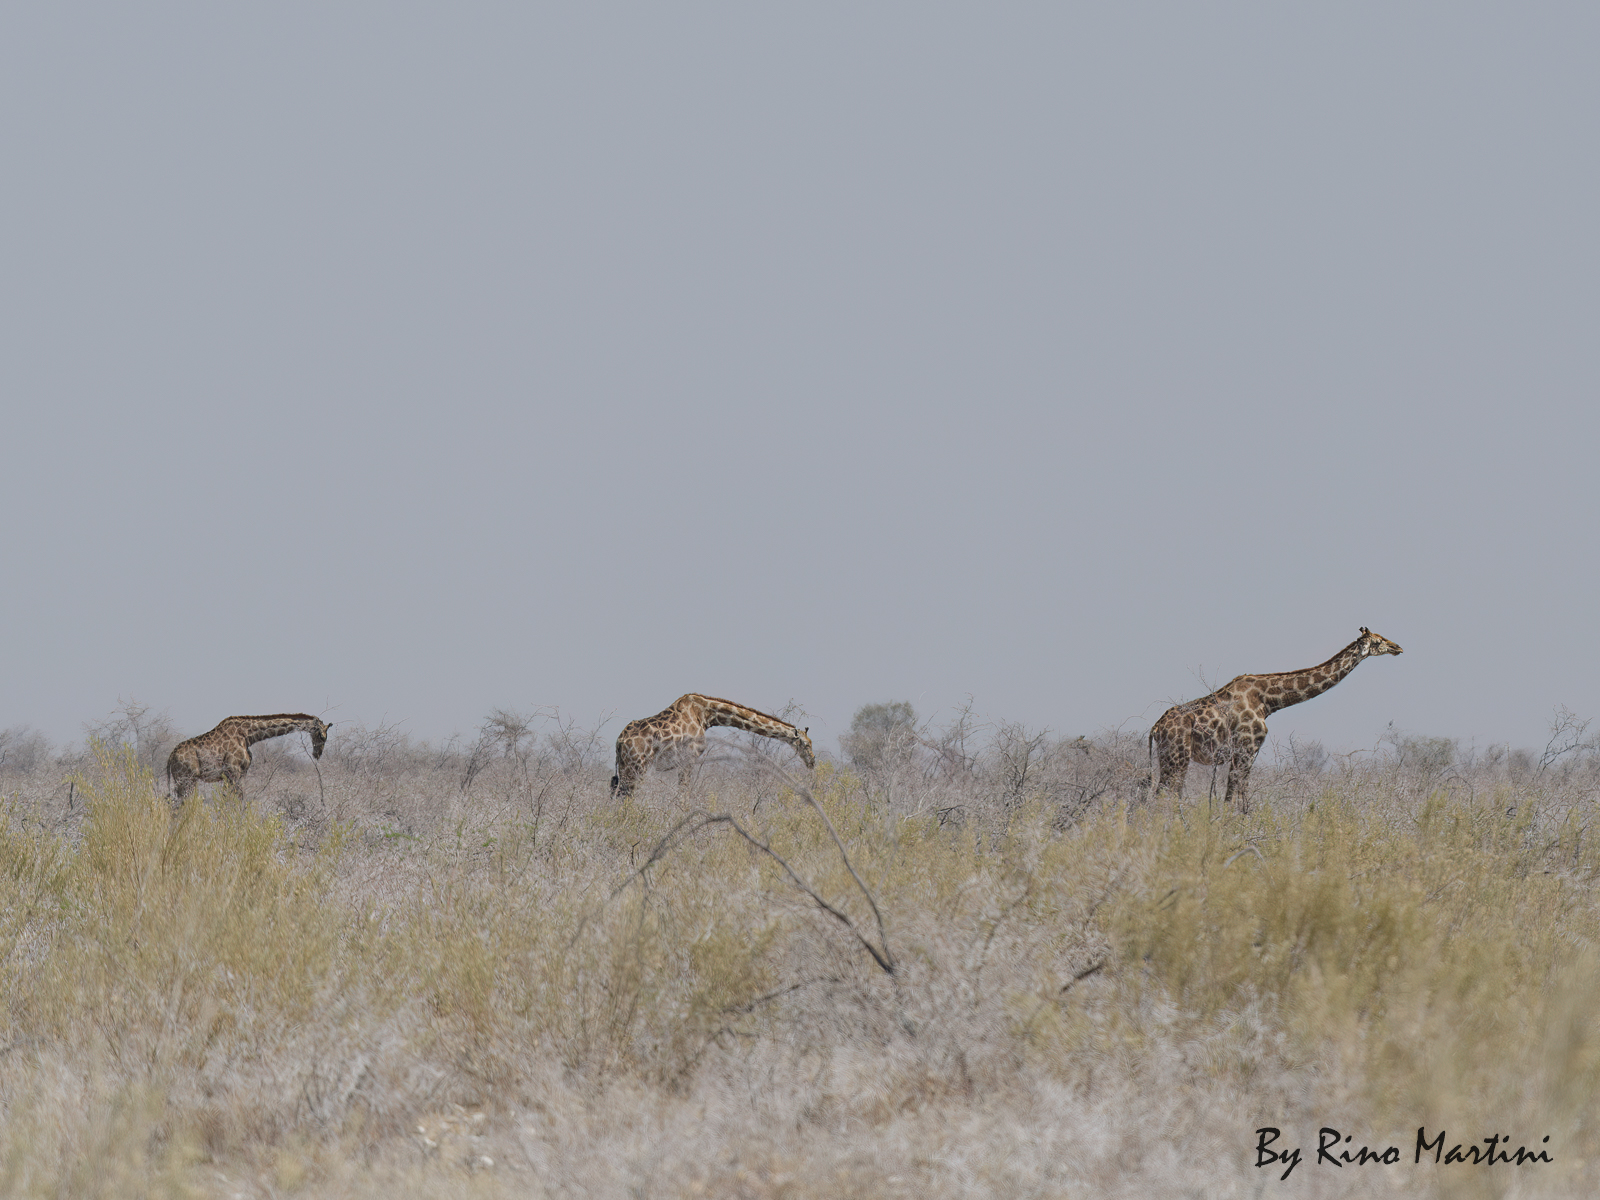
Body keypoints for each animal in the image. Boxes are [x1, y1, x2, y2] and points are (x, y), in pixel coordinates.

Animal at [166, 713, 331, 802]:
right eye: (322, 736)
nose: (317, 754)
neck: (249, 736)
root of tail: (170, 757)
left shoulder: (242, 773)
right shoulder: (233, 772)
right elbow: (232, 800)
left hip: (184, 780)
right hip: (186, 779)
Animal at [611, 694, 815, 798]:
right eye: (806, 744)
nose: (813, 762)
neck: (706, 714)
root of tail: (619, 741)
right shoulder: (689, 758)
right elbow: (684, 795)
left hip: (625, 767)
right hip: (636, 767)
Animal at [1149, 627, 1402, 812]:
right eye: (1378, 641)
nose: (1398, 647)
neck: (1269, 700)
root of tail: (1155, 728)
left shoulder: (1244, 752)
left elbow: (1237, 797)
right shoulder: (1246, 748)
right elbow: (1236, 799)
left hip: (1169, 757)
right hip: (1178, 757)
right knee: (1164, 795)